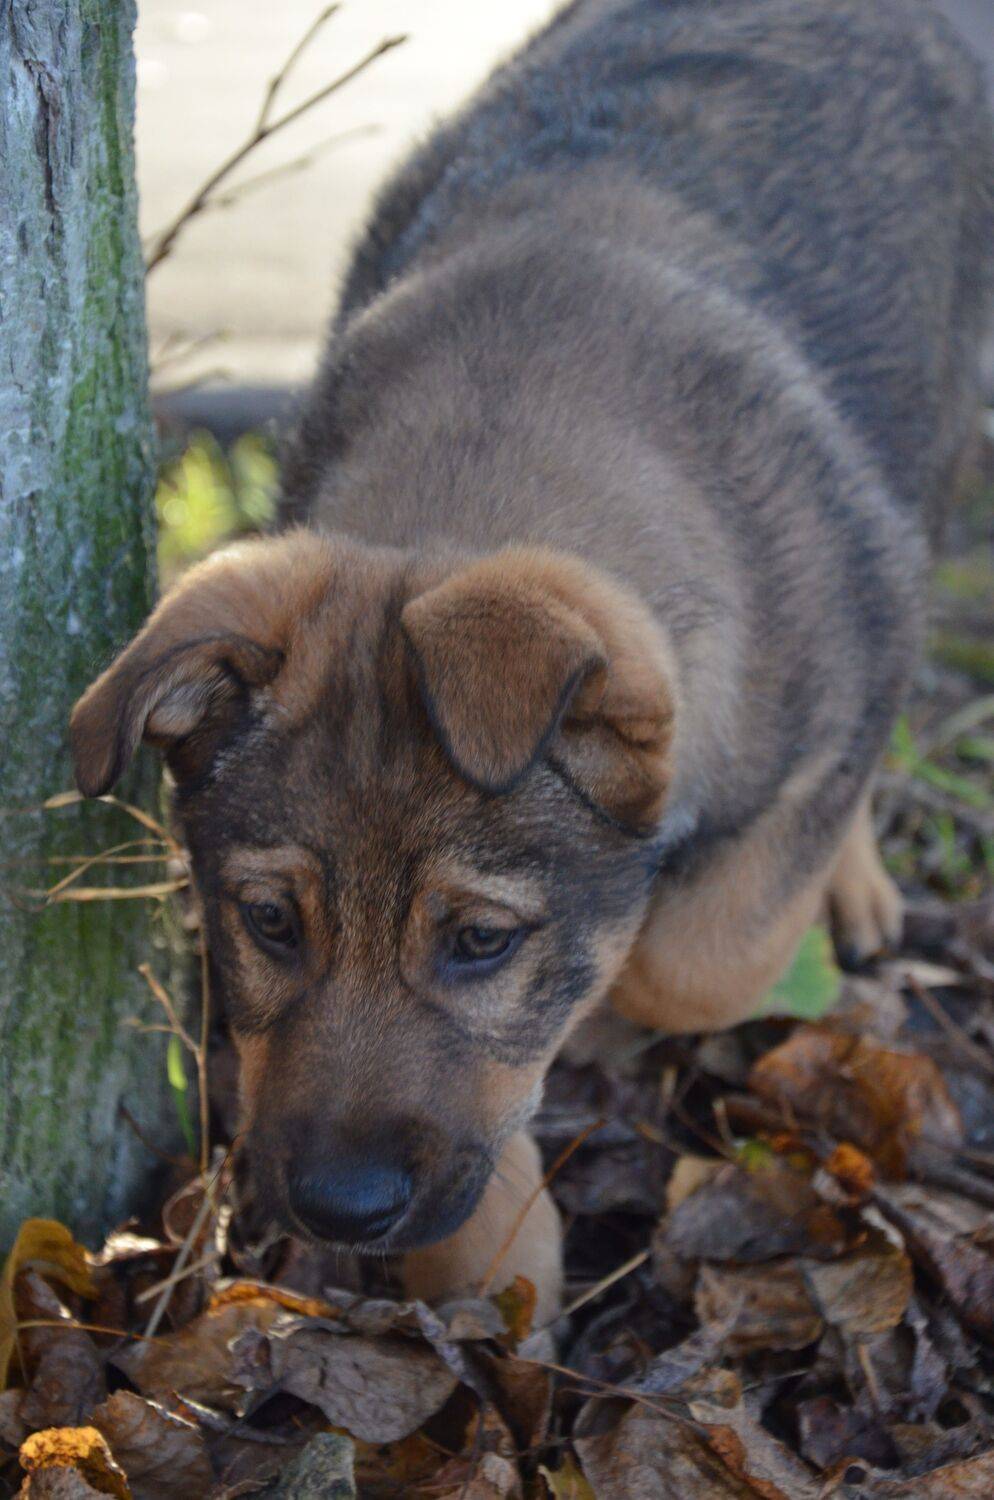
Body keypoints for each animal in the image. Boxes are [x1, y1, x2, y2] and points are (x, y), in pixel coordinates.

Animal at [72, 0, 993, 1320]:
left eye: (480, 943)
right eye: (269, 921)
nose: (335, 1213)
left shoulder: (838, 690)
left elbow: (690, 961)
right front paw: (495, 1258)